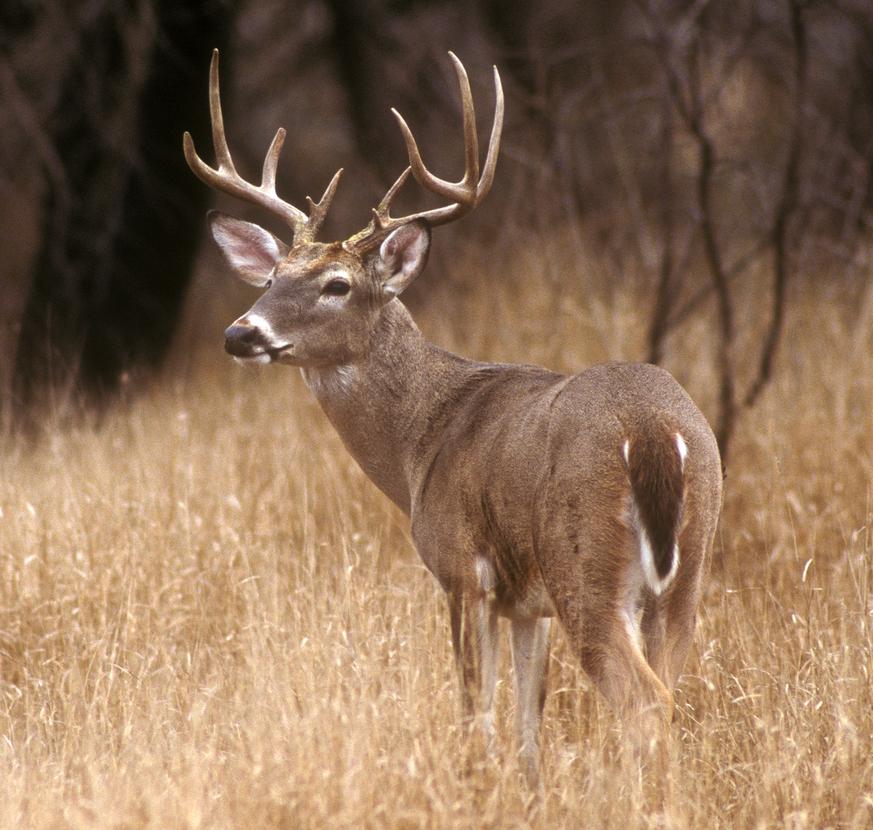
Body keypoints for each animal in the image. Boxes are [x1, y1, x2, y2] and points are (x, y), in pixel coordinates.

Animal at [183, 49, 722, 787]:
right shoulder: (525, 604)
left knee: (643, 704)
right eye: (270, 279)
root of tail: (652, 433)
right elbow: (527, 722)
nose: (241, 333)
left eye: (337, 285)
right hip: (686, 572)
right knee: (668, 694)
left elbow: (476, 712)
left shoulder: (462, 568)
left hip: (585, 562)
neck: (420, 440)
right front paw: (526, 791)